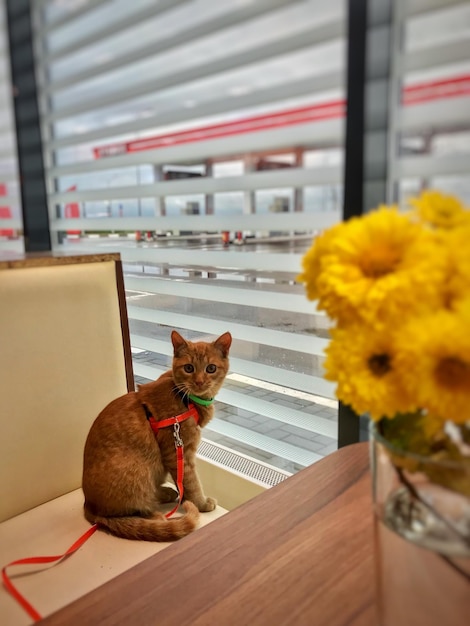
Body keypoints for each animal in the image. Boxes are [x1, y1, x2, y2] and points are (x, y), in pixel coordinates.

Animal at [84, 330, 233, 540]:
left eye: (211, 368)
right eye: (189, 368)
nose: (199, 381)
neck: (186, 399)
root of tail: (89, 505)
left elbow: (184, 484)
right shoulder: (178, 453)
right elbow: (191, 483)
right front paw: (201, 503)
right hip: (138, 470)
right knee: (132, 510)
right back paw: (157, 516)